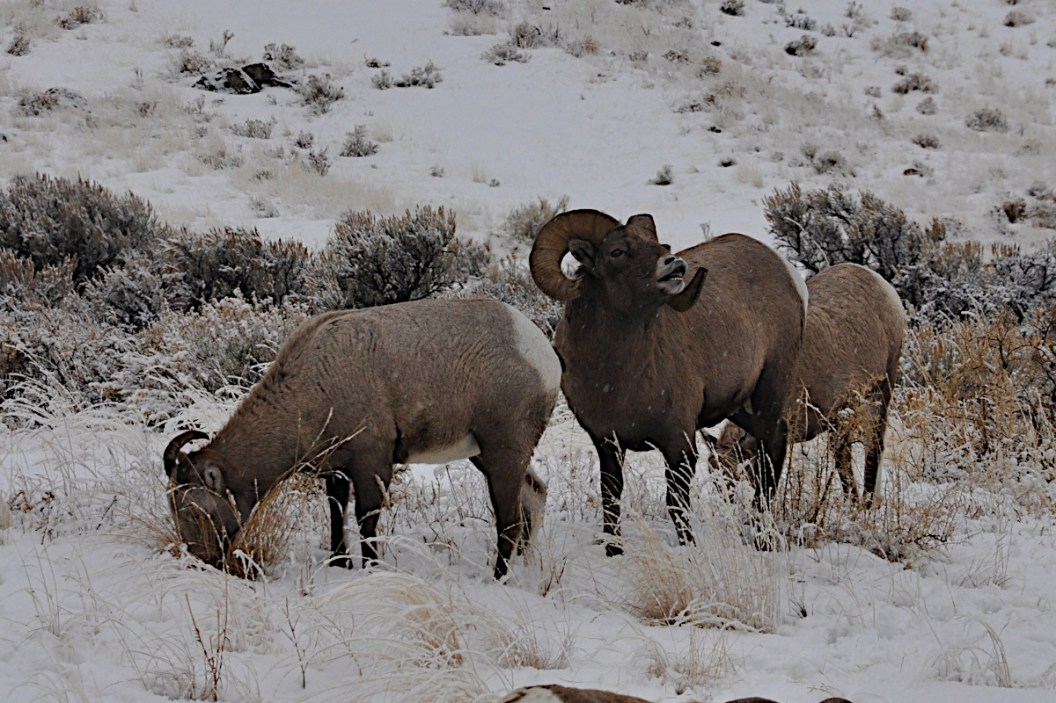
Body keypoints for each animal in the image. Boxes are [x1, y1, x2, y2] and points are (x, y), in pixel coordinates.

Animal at [162, 297, 561, 578]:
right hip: (489, 457)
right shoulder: (337, 471)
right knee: (535, 495)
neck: (317, 382)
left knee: (509, 521)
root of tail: (543, 356)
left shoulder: (372, 465)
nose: (200, 559)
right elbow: (337, 512)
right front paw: (340, 563)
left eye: (194, 510)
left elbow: (366, 519)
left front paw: (369, 569)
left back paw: (498, 577)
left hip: (501, 454)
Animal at [528, 211, 806, 548]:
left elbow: (676, 503)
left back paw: (762, 537)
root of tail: (785, 271)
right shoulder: (607, 443)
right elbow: (611, 497)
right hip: (741, 408)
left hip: (769, 393)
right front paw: (613, 550)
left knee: (772, 452)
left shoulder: (678, 443)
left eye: (661, 245)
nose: (675, 265)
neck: (616, 377)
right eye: (617, 252)